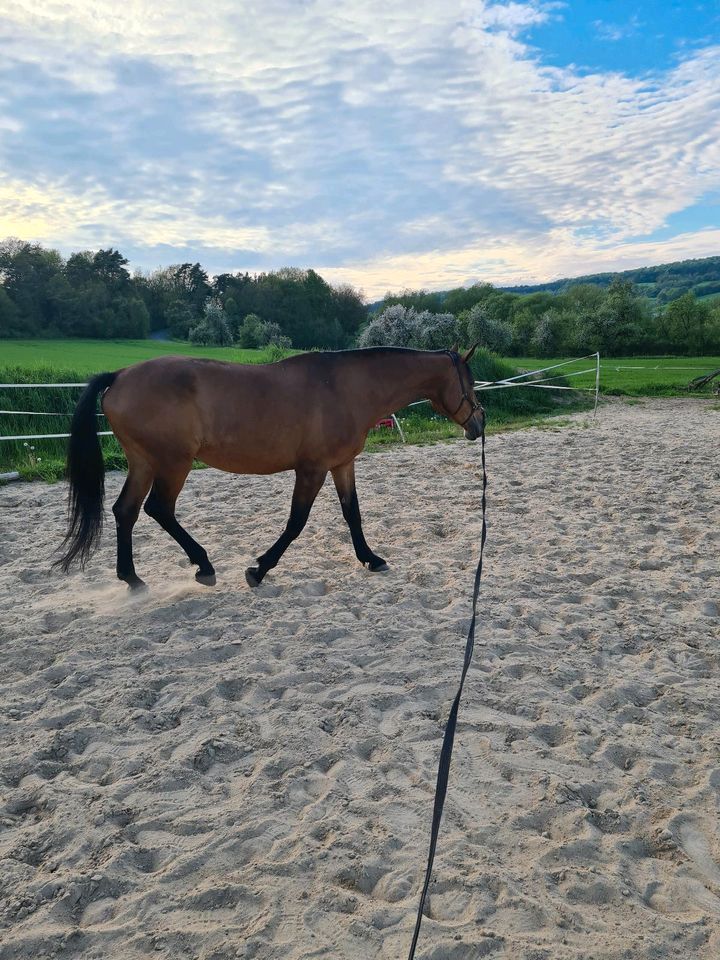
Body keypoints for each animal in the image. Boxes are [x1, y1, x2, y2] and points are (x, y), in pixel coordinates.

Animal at [57, 342, 484, 588]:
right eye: (470, 381)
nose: (479, 422)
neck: (346, 388)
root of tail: (119, 377)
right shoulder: (311, 469)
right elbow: (296, 522)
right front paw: (258, 570)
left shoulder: (341, 465)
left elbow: (353, 515)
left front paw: (371, 559)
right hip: (173, 463)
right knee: (158, 509)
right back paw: (203, 566)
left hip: (144, 463)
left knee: (125, 511)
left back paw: (132, 578)